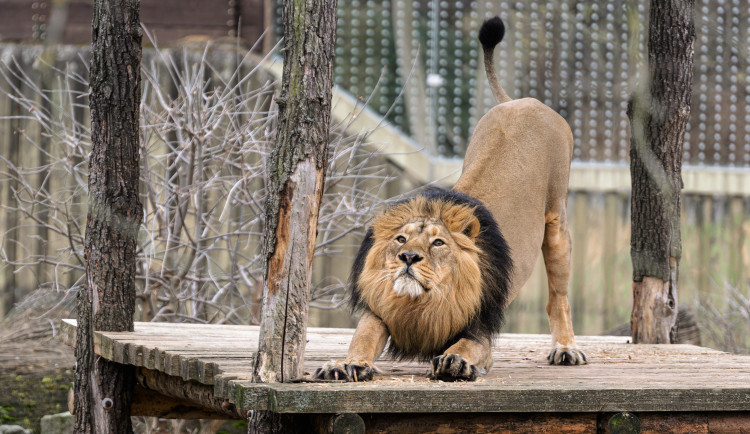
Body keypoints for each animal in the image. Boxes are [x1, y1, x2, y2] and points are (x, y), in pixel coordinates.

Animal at [314, 15, 592, 382]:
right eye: (401, 239)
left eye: (438, 243)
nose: (407, 258)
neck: (423, 303)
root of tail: (523, 100)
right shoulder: (382, 310)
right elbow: (363, 336)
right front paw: (346, 364)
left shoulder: (482, 329)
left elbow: (468, 345)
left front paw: (454, 361)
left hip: (557, 223)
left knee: (558, 297)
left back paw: (566, 349)